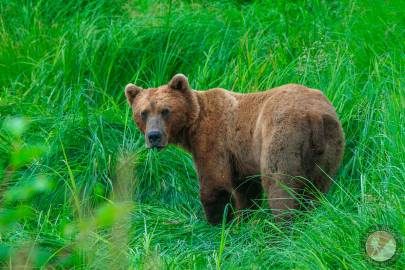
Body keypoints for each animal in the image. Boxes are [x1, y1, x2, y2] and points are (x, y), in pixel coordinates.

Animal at [124, 74, 342, 224]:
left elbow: (215, 183)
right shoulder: (239, 158)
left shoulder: (213, 141)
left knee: (280, 185)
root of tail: (314, 116)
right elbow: (246, 189)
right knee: (317, 189)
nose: (153, 136)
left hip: (283, 137)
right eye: (143, 112)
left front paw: (217, 222)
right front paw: (244, 218)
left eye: (165, 110)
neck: (191, 129)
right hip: (329, 144)